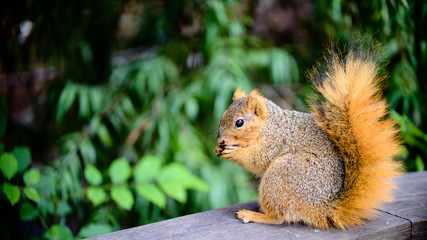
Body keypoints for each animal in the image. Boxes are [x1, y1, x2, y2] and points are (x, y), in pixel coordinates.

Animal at [216, 41, 402, 229]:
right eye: (223, 115)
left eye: (239, 123)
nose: (220, 139)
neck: (268, 126)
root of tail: (323, 208)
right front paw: (219, 148)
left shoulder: (275, 141)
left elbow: (259, 160)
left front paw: (234, 152)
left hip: (281, 176)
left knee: (279, 217)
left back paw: (253, 215)